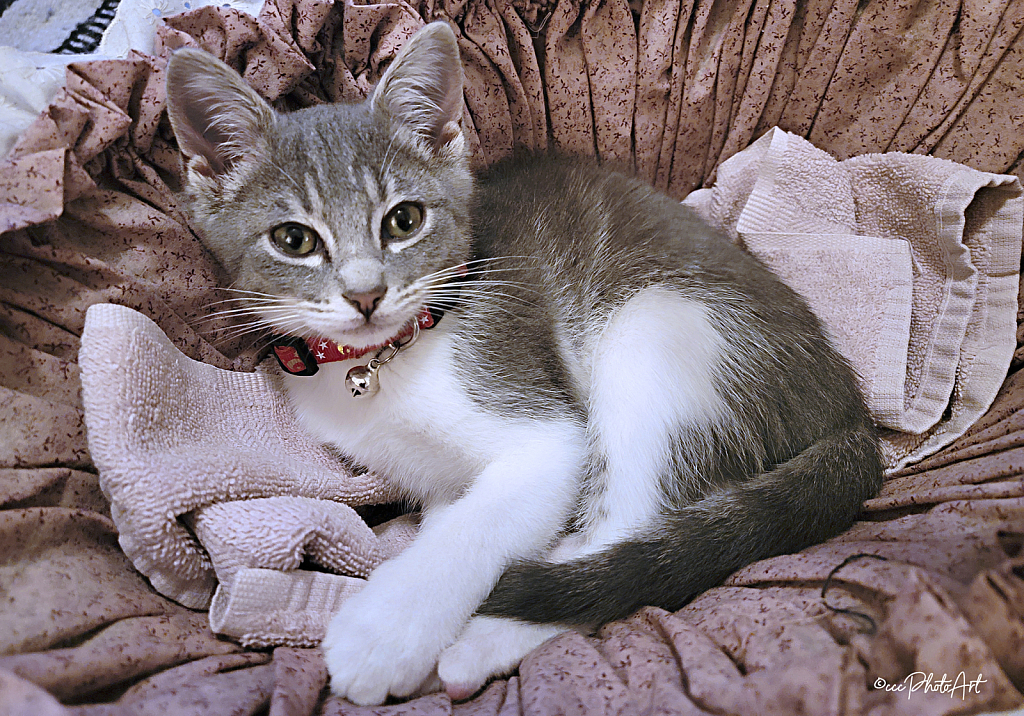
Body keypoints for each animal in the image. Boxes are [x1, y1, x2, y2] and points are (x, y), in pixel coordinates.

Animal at [165, 20, 880, 704]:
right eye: (293, 239)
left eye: (403, 220)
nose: (366, 294)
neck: (385, 363)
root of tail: (848, 407)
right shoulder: (435, 479)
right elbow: (456, 516)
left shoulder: (543, 429)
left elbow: (477, 529)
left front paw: (385, 631)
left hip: (657, 325)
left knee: (628, 537)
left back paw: (484, 640)